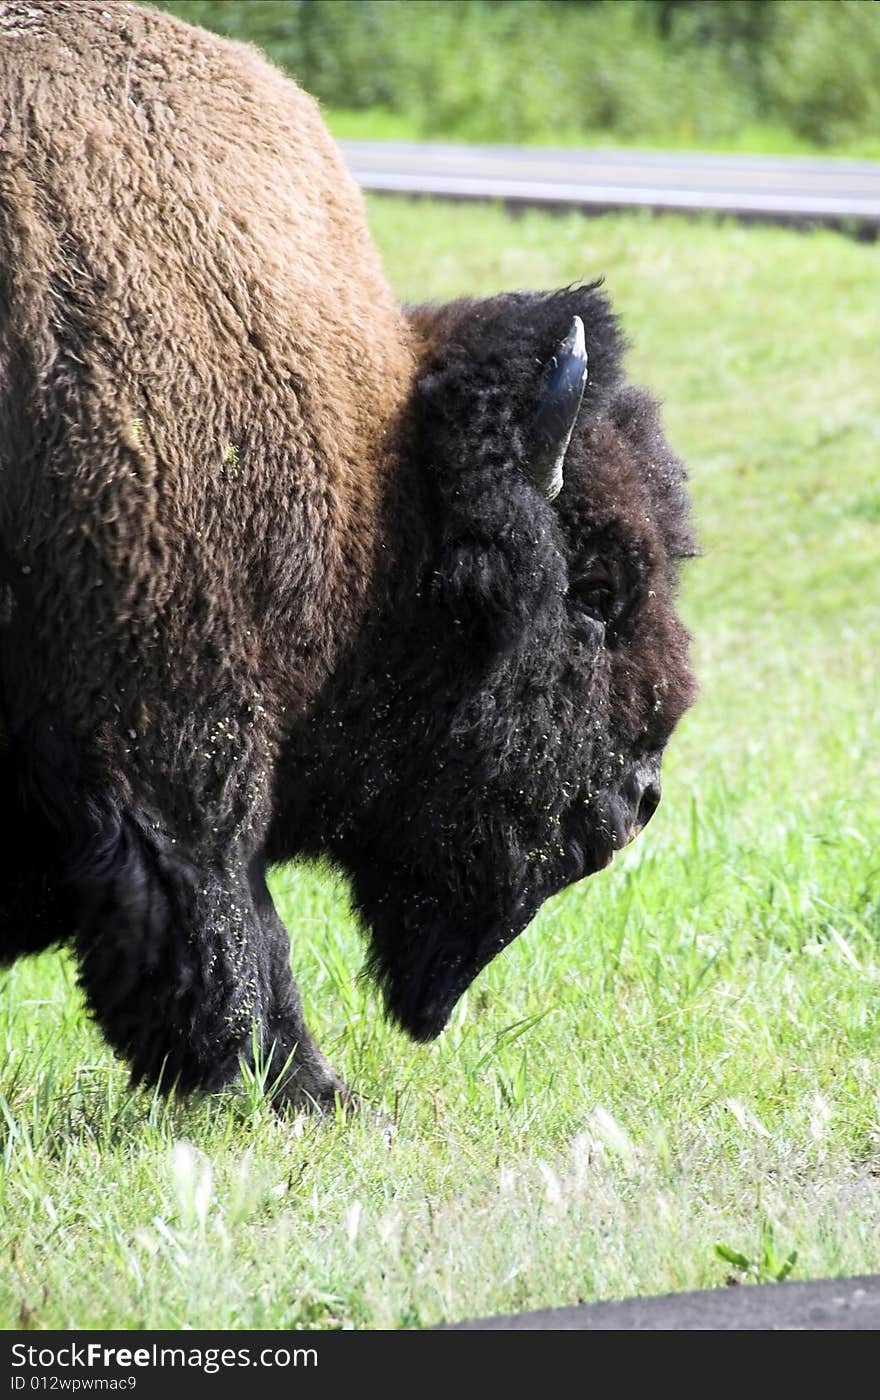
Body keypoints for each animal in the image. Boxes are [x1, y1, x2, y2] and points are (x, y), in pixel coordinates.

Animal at [1, 5, 693, 1108]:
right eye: (593, 590)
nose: (640, 796)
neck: (380, 475)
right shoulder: (174, 729)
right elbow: (224, 913)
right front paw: (305, 1091)